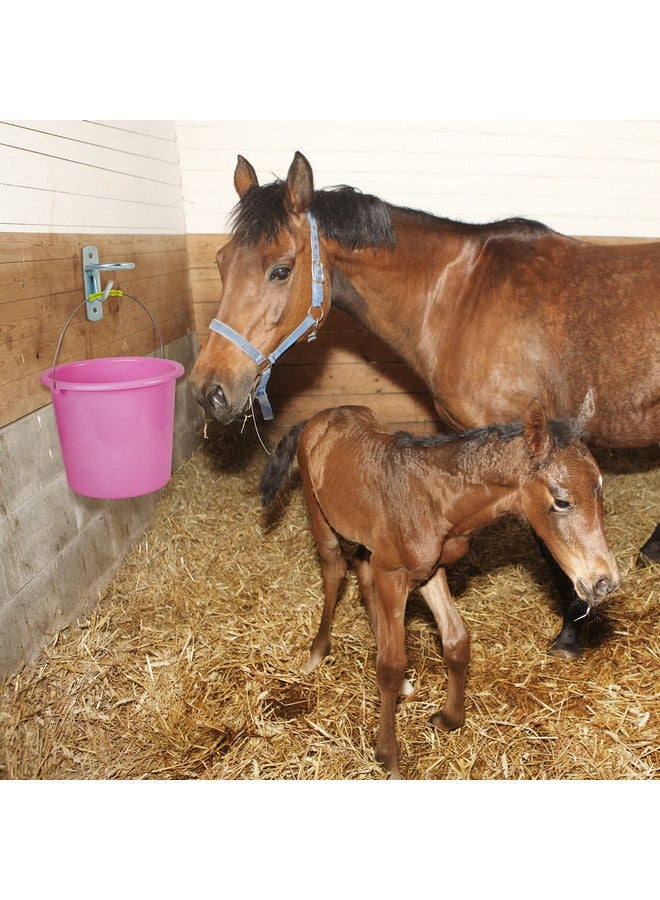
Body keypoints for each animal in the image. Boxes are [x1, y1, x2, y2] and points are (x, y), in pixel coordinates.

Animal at [259, 401, 620, 779]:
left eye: (600, 488)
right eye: (562, 501)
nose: (603, 582)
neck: (436, 500)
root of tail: (316, 418)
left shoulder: (430, 571)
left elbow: (456, 640)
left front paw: (448, 718)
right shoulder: (393, 574)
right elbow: (390, 664)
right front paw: (388, 758)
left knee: (362, 575)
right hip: (320, 515)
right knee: (335, 571)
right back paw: (318, 651)